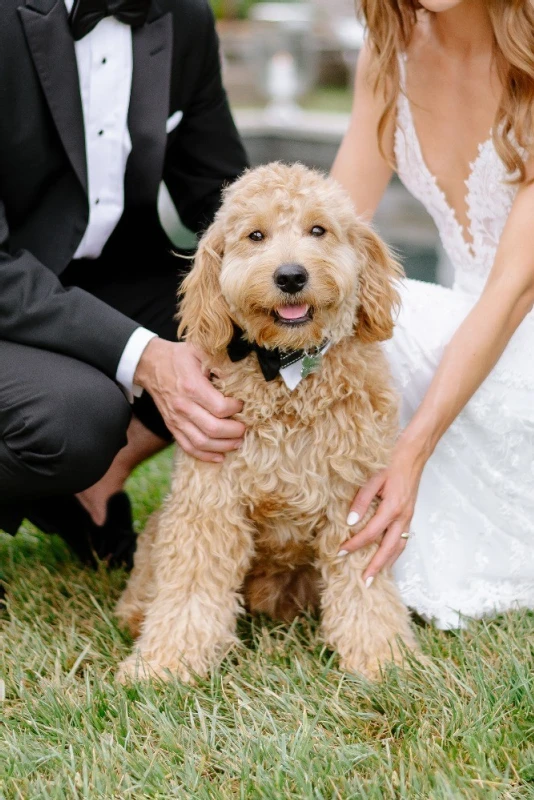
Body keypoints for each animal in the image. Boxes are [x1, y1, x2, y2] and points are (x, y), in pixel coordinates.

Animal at [116, 161, 418, 680]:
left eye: (318, 230)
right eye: (255, 235)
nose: (291, 276)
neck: (288, 374)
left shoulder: (354, 503)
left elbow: (365, 590)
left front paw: (384, 661)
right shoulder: (209, 502)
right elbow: (190, 589)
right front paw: (164, 665)